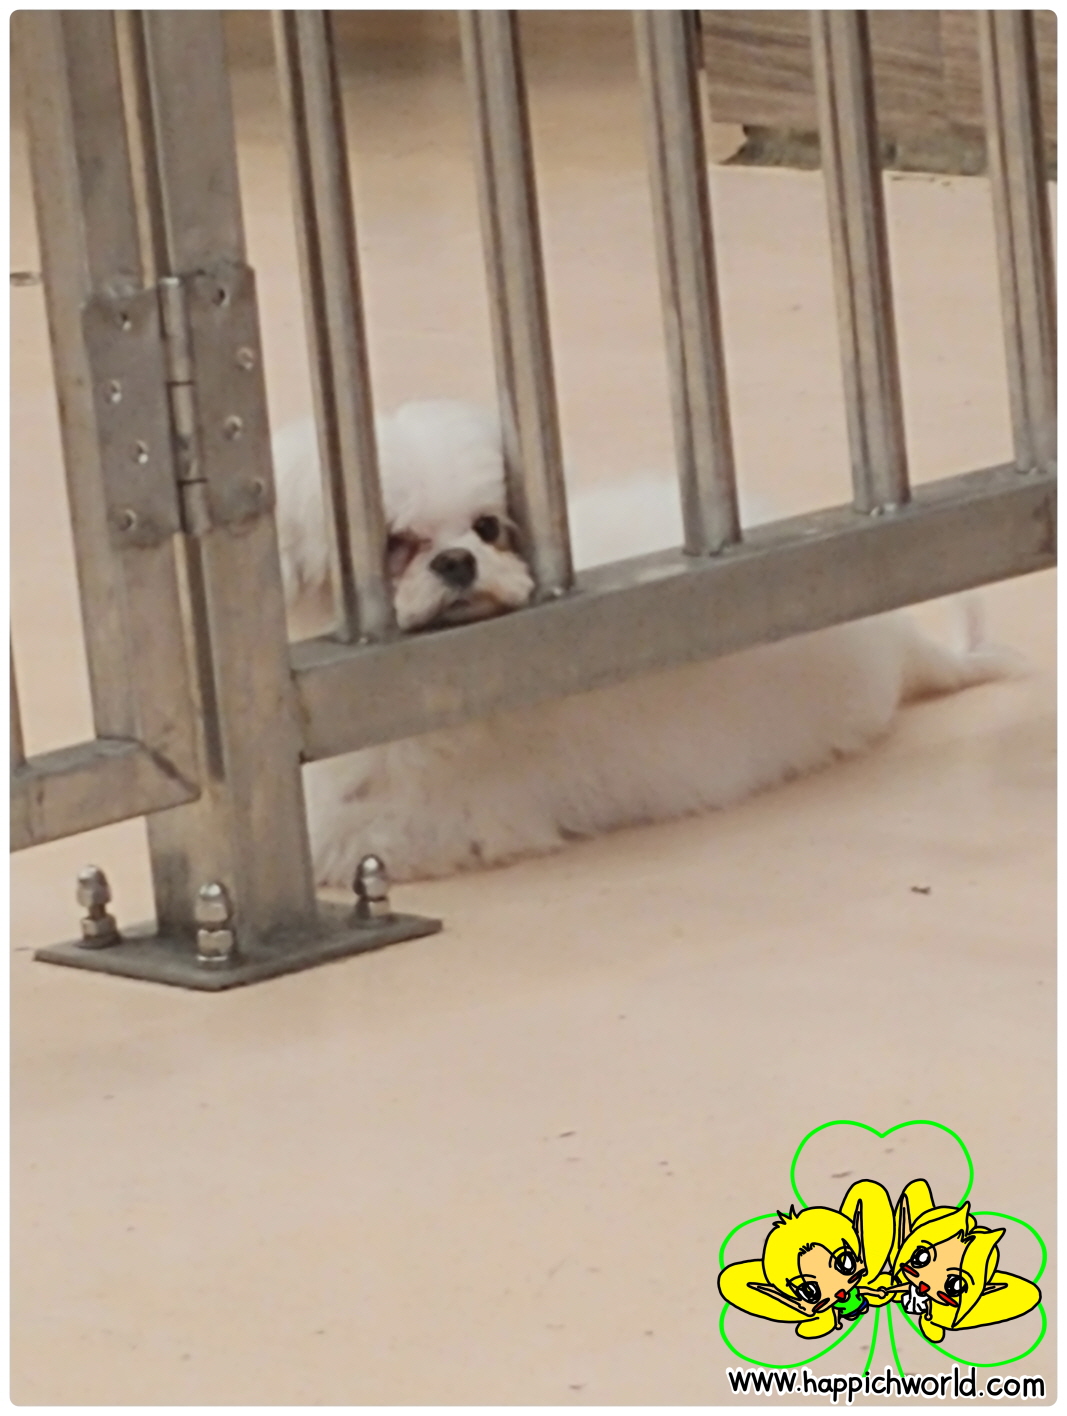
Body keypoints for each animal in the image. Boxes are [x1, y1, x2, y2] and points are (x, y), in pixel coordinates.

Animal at [273, 399, 1014, 885]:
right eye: (395, 542)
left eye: (488, 527)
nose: (456, 562)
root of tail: (893, 637)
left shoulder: (462, 813)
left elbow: (336, 832)